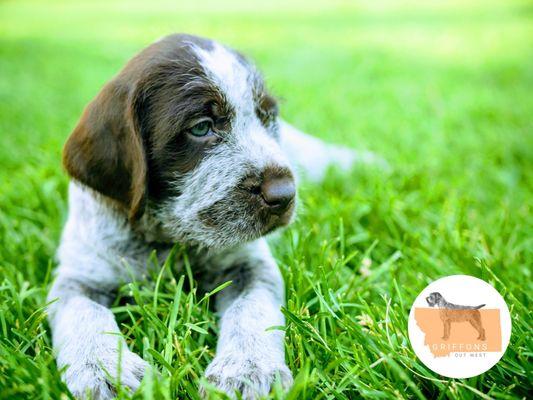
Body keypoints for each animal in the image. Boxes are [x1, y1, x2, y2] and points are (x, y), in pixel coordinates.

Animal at [48, 35, 374, 400]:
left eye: (267, 117)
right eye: (201, 128)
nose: (284, 194)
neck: (169, 238)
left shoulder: (250, 266)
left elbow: (251, 309)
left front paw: (247, 369)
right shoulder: (77, 278)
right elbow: (85, 313)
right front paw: (105, 371)